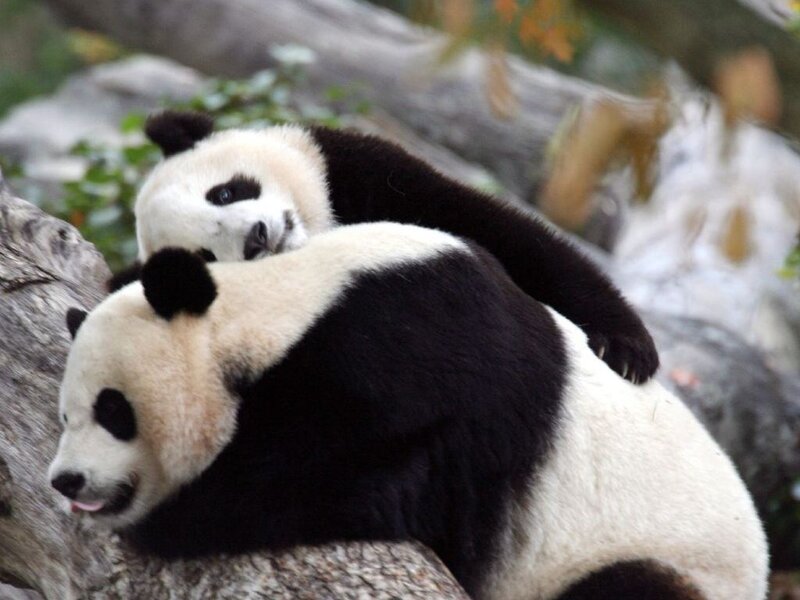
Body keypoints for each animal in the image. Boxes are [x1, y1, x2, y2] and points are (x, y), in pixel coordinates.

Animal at [49, 222, 767, 600]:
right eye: (63, 416)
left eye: (113, 410)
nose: (66, 479)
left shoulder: (410, 357)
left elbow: (346, 478)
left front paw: (169, 519)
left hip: (669, 563)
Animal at [114, 110, 659, 385]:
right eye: (206, 255)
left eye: (224, 193)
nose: (257, 238)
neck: (320, 227)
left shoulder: (363, 173)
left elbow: (515, 239)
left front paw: (627, 349)